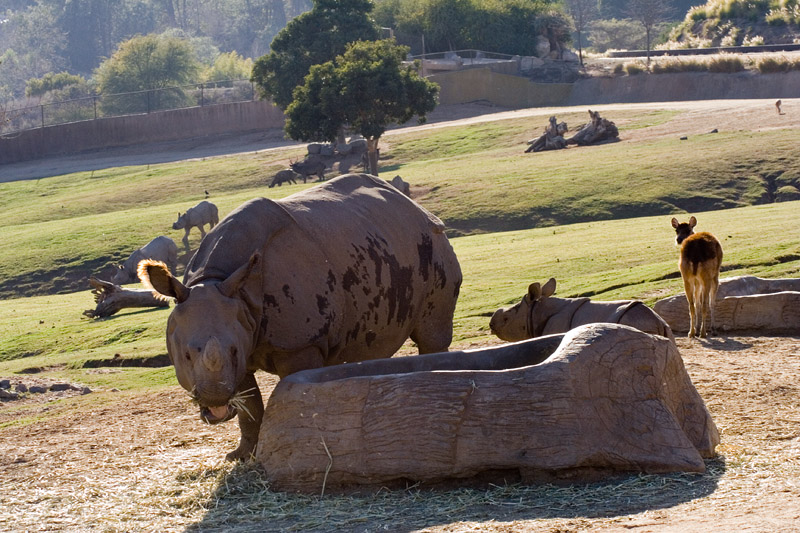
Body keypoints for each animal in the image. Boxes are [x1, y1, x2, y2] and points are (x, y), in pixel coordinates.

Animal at [138, 172, 462, 460]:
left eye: (230, 350)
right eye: (186, 355)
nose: (215, 401)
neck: (216, 280)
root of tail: (414, 206)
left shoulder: (299, 343)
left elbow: (298, 394)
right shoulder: (240, 338)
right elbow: (249, 406)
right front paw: (241, 456)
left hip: (432, 242)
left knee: (432, 336)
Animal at [490, 278, 672, 340]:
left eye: (506, 319)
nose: (491, 325)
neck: (536, 310)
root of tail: (658, 322)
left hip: (639, 324)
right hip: (662, 326)